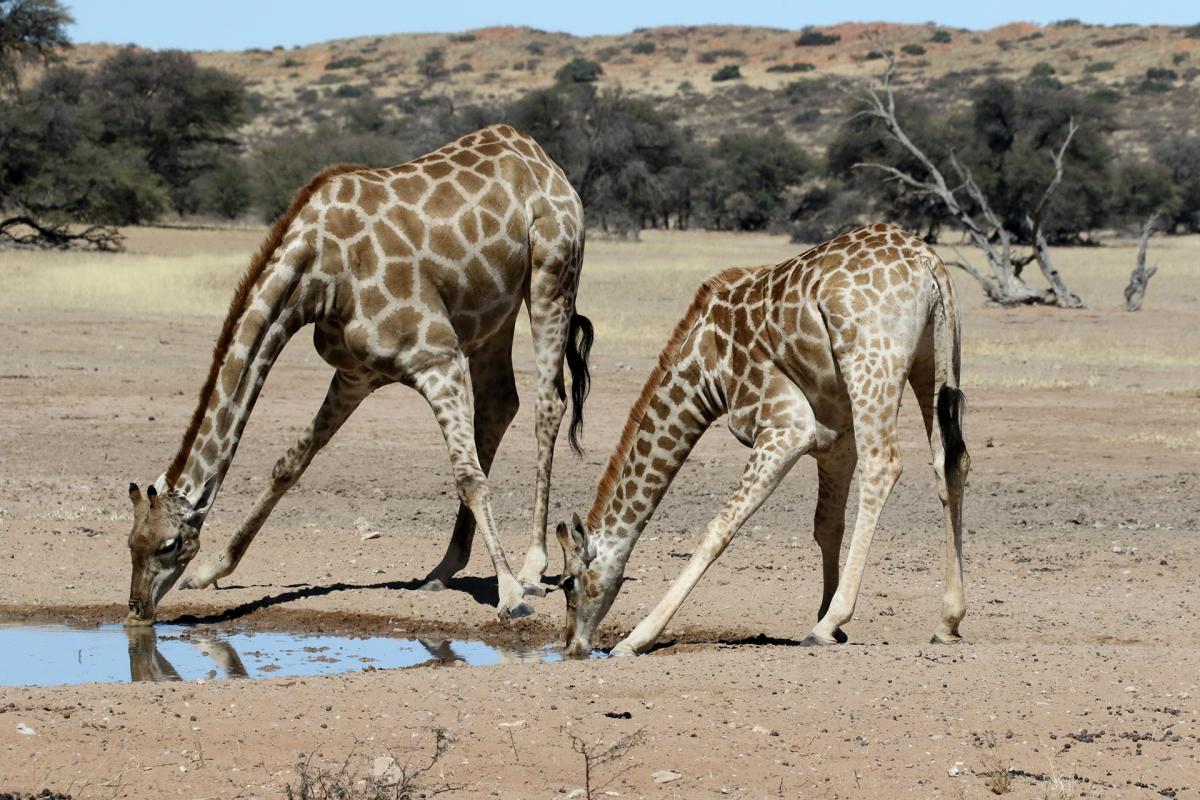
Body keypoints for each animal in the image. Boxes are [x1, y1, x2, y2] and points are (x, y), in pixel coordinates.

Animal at [124, 123, 592, 623]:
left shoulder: (436, 357)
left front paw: (508, 594)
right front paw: (212, 570)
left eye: (168, 544)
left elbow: (469, 478)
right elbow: (289, 464)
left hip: (552, 276)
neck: (317, 274)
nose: (136, 609)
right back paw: (443, 568)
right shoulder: (357, 375)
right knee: (500, 402)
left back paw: (530, 567)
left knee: (547, 404)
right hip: (493, 314)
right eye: (131, 543)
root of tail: (541, 159)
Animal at [556, 224, 969, 657]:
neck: (705, 371)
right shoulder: (837, 440)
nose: (572, 645)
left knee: (884, 464)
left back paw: (835, 622)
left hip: (872, 366)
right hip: (933, 359)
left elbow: (720, 527)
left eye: (567, 582)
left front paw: (636, 638)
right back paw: (947, 620)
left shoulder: (785, 427)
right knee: (950, 464)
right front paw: (828, 620)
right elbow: (827, 526)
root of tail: (927, 261)